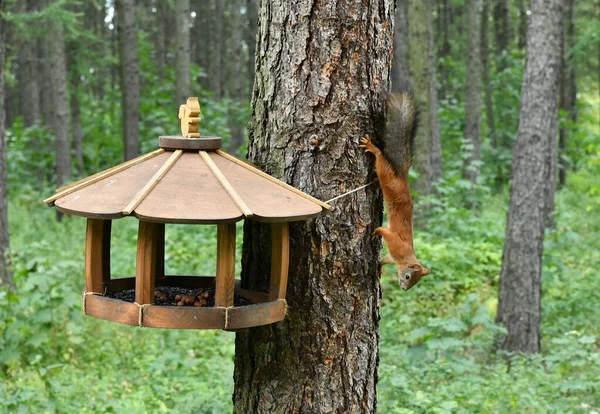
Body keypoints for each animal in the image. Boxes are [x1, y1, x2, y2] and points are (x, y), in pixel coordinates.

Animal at [358, 92, 428, 290]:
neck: (404, 258)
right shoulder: (395, 242)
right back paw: (373, 149)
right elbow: (384, 231)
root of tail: (403, 177)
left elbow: (385, 260)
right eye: (408, 277)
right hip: (388, 178)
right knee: (381, 160)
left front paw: (380, 268)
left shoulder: (392, 256)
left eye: (414, 282)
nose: (404, 289)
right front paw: (376, 232)